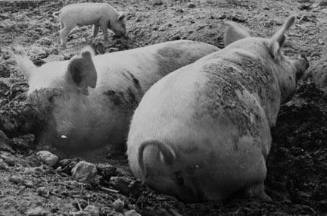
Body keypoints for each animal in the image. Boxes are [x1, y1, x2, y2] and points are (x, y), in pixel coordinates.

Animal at [127, 16, 310, 202]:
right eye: (283, 55)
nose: (304, 57)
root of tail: (167, 152)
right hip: (241, 164)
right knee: (253, 189)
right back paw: (272, 199)